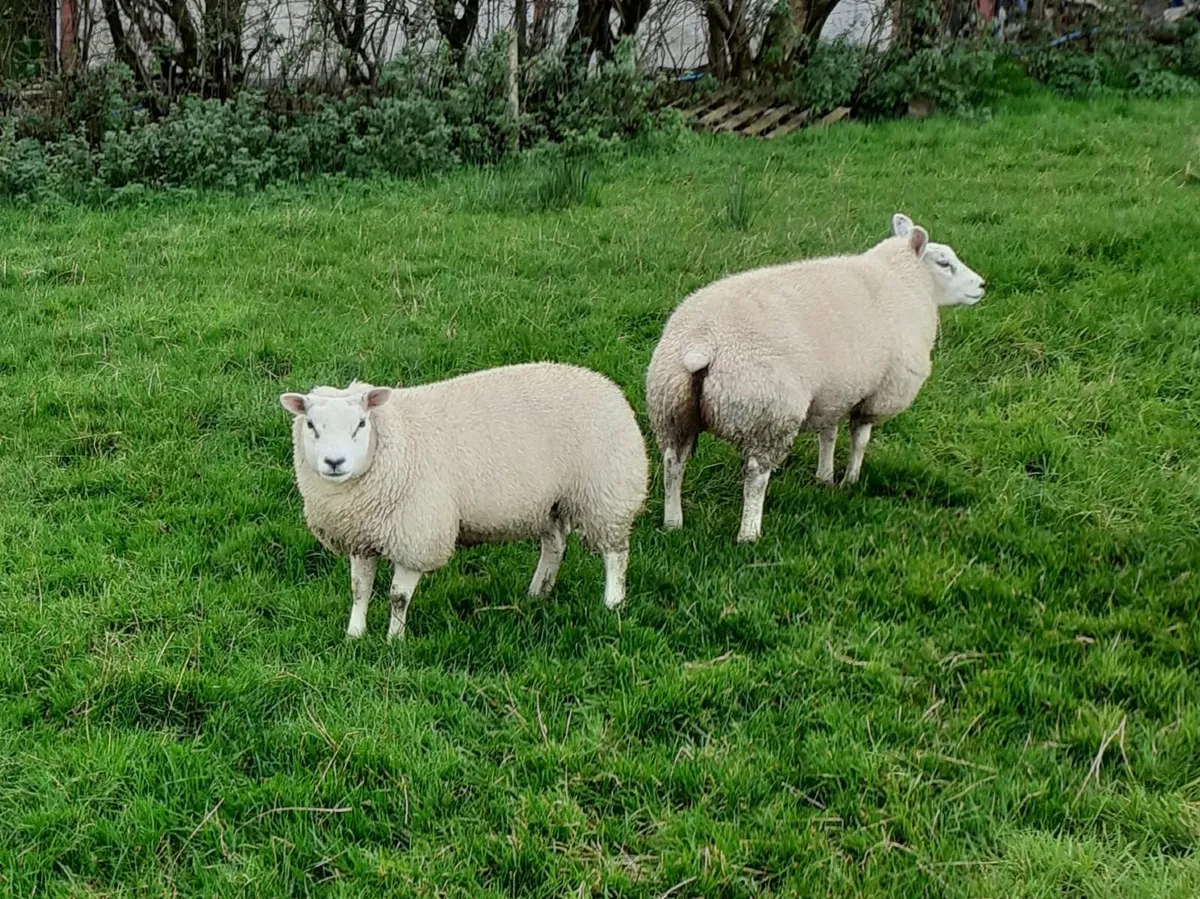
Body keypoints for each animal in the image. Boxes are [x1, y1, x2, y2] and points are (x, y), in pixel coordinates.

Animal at [279, 362, 649, 640]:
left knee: (616, 553)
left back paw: (613, 602)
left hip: (606, 492)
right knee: (555, 545)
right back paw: (538, 592)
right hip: (548, 502)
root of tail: (604, 383)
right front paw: (354, 635)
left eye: (360, 424)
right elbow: (359, 589)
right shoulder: (362, 536)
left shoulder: (418, 535)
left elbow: (398, 597)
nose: (334, 462)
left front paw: (394, 640)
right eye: (311, 425)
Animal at [645, 212, 986, 543]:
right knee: (755, 477)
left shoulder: (835, 392)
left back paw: (673, 522)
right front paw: (850, 481)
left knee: (673, 464)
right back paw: (749, 534)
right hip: (767, 415)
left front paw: (825, 478)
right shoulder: (877, 394)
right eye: (944, 263)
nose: (982, 285)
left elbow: (828, 435)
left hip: (672, 410)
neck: (902, 281)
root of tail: (702, 344)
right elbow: (860, 440)